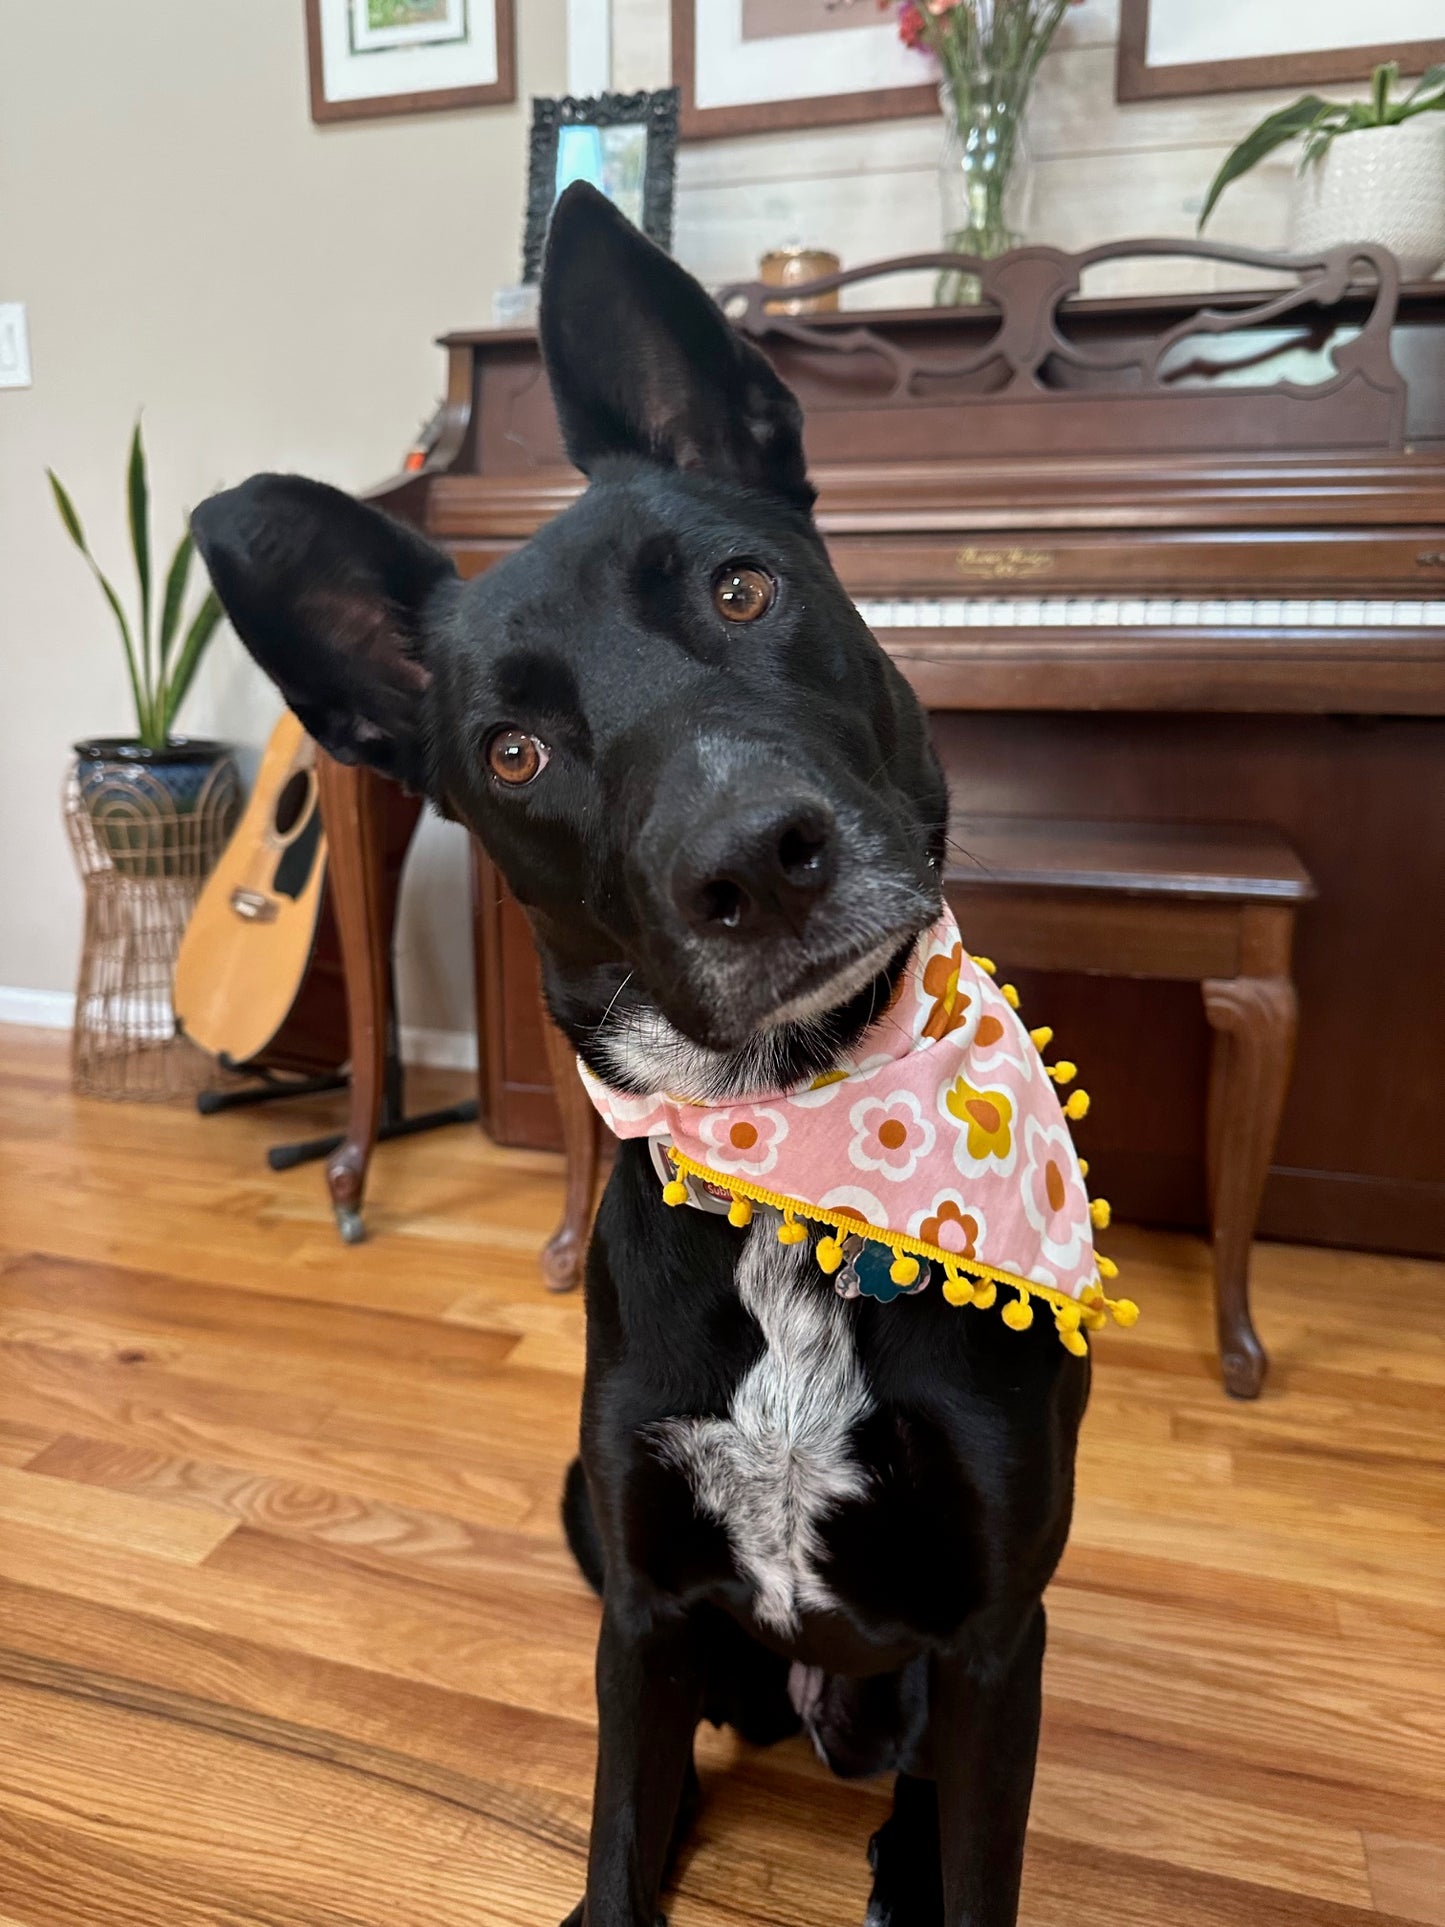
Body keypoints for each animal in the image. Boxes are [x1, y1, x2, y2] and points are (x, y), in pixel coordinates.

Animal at [198, 184, 1094, 1927]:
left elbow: (983, 1854)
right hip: (592, 1527)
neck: (802, 1150)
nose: (757, 862)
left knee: (919, 1778)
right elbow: (619, 1818)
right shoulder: (638, 1596)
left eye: (743, 591)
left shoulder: (991, 1629)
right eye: (512, 751)